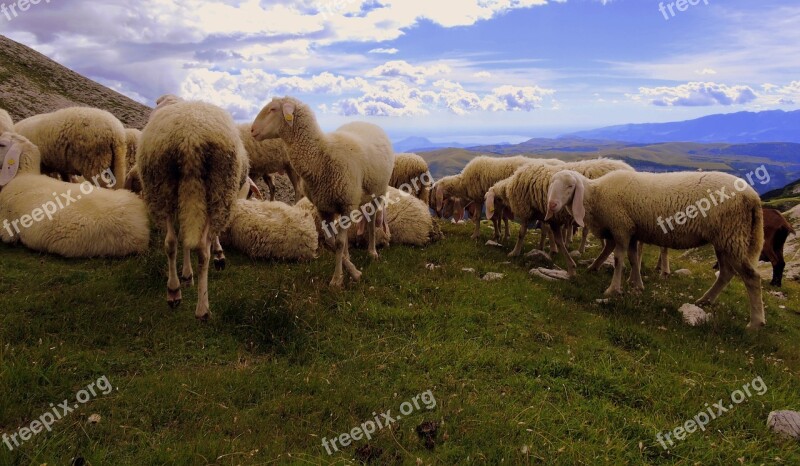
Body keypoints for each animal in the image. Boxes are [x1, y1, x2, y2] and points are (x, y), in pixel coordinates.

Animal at [138, 99, 247, 320]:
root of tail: (191, 139)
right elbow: (204, 239)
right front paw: (218, 257)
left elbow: (183, 239)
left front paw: (187, 276)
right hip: (218, 190)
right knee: (202, 250)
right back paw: (202, 309)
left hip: (164, 188)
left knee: (171, 242)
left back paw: (174, 291)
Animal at [250, 95, 394, 288]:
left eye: (273, 109)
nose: (252, 130)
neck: (321, 156)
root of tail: (367, 122)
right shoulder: (323, 206)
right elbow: (331, 241)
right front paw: (351, 270)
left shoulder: (347, 204)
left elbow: (339, 242)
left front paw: (338, 279)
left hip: (378, 193)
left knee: (371, 223)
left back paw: (372, 252)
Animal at [484, 158, 636, 274]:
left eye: (495, 201)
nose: (494, 217)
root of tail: (630, 169)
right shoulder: (548, 216)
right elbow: (552, 235)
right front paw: (553, 251)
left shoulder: (527, 211)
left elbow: (522, 234)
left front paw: (515, 252)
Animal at [548, 169, 764, 330]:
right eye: (551, 184)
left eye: (570, 186)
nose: (551, 204)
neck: (597, 194)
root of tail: (753, 196)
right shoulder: (632, 230)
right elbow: (633, 258)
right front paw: (637, 285)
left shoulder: (621, 228)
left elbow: (619, 259)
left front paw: (613, 289)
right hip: (725, 239)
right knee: (726, 273)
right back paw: (705, 300)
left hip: (732, 234)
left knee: (751, 277)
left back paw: (755, 323)